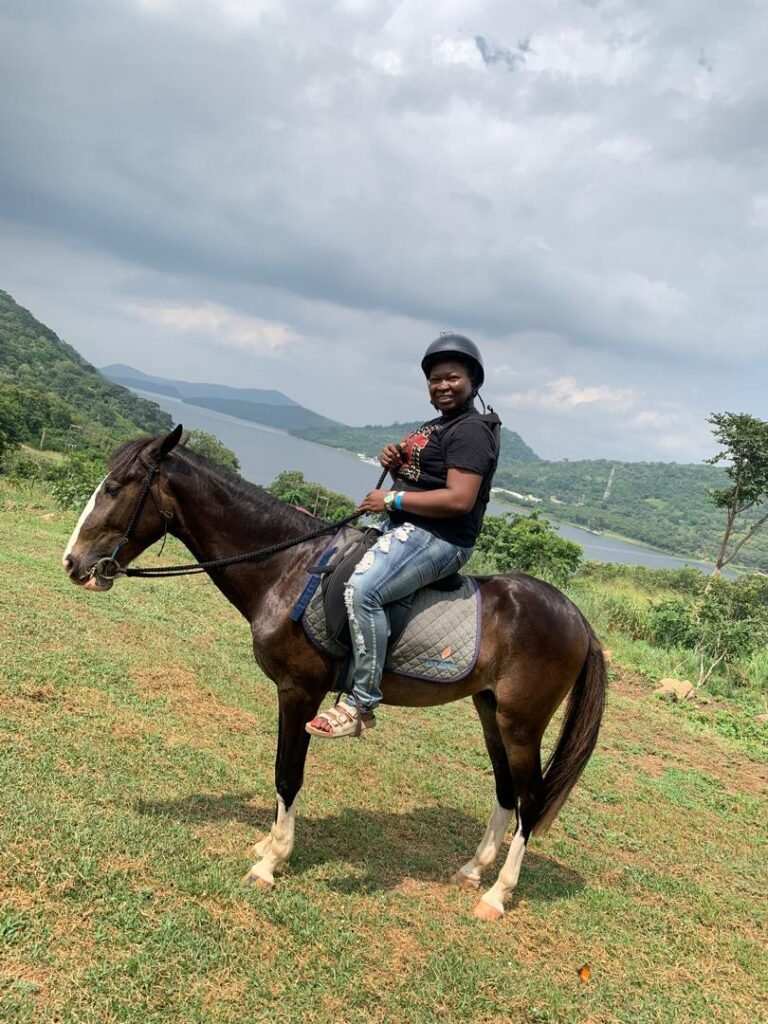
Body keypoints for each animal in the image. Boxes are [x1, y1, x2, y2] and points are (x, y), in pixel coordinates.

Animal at [62, 425, 606, 921]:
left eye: (116, 488)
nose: (73, 562)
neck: (287, 568)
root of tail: (576, 617)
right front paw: (267, 846)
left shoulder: (299, 691)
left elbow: (287, 774)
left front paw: (271, 862)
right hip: (491, 711)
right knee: (506, 792)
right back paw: (473, 871)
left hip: (522, 723)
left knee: (531, 799)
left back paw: (497, 895)